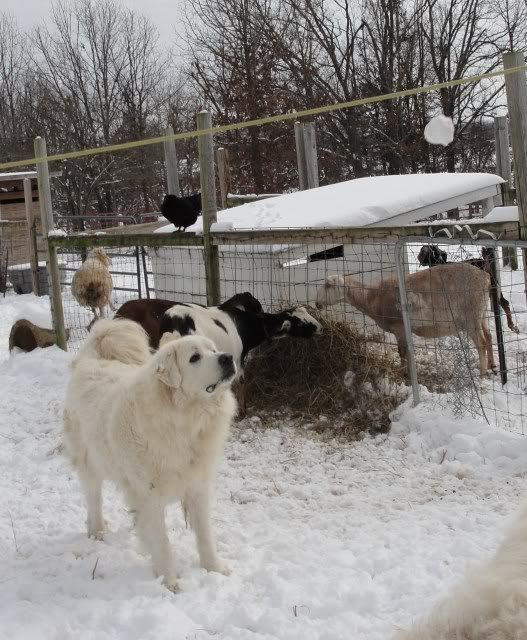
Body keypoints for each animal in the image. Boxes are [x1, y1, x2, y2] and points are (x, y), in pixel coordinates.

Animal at [316, 263, 495, 377]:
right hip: (482, 312)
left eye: (328, 285)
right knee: (489, 337)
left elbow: (401, 351)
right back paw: (492, 366)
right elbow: (406, 351)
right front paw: (408, 369)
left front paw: (403, 372)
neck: (372, 297)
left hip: (471, 315)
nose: (317, 304)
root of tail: (485, 277)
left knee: (481, 343)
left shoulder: (399, 327)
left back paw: (482, 373)